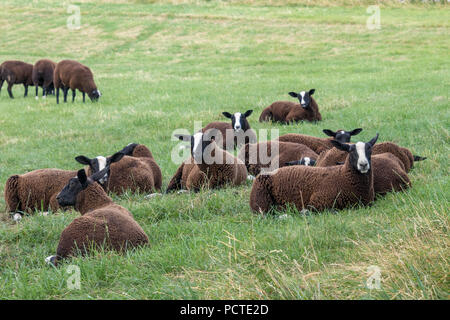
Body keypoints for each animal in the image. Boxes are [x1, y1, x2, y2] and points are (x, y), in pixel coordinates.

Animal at [250, 134, 380, 214]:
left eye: (370, 151)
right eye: (351, 151)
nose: (363, 165)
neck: (343, 177)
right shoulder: (317, 202)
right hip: (260, 202)